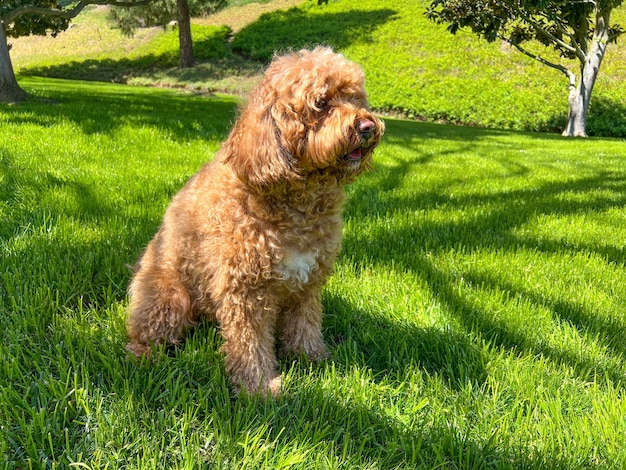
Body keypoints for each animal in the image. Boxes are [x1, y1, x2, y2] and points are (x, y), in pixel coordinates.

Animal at [125, 46, 382, 394]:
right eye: (321, 103)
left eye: (356, 98)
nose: (368, 126)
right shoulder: (245, 290)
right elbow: (250, 343)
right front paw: (258, 387)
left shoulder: (308, 282)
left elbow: (305, 324)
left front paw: (312, 359)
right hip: (169, 296)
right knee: (144, 335)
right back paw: (145, 356)